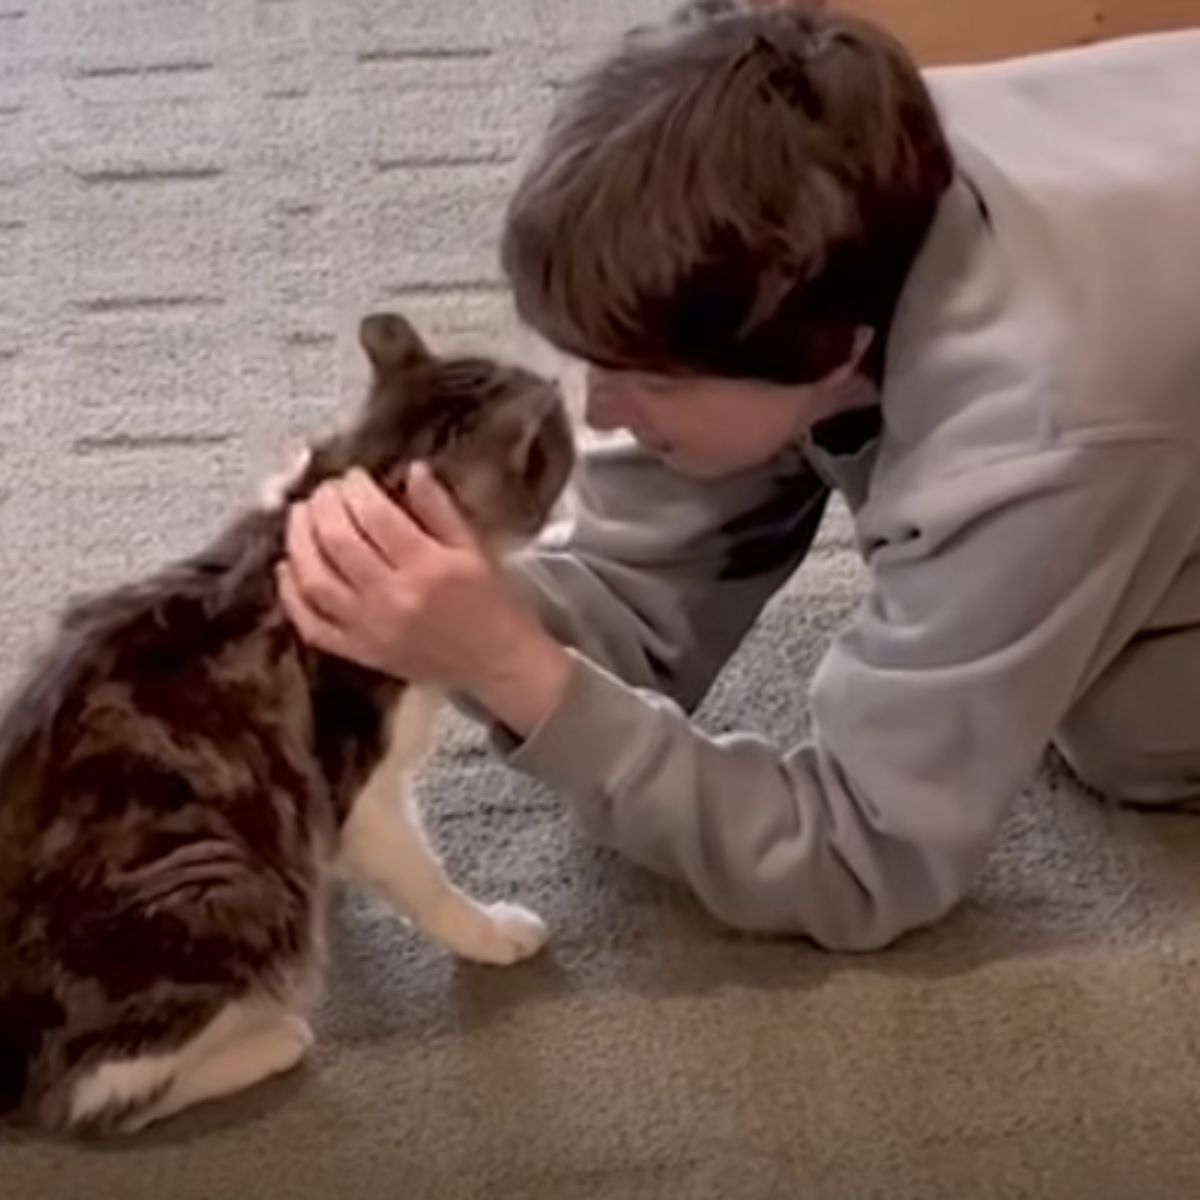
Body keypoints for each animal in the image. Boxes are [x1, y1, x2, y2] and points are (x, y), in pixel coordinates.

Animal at [0, 312, 576, 1132]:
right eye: (555, 444)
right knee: (93, 1094)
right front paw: (490, 932)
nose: (572, 403)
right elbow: (424, 879)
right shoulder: (364, 786)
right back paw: (272, 1042)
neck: (349, 484)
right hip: (217, 879)